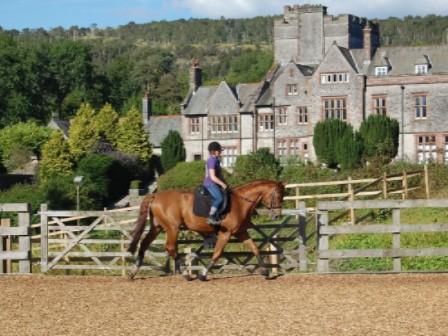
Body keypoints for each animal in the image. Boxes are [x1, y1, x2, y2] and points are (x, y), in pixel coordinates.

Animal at [128, 178, 286, 280]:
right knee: (170, 248)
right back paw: (186, 273)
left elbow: (255, 249)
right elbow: (217, 253)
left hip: (157, 227)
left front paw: (265, 272)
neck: (241, 203)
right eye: (279, 196)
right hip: (172, 228)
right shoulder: (225, 233)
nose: (277, 216)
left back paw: (134, 271)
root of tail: (156, 195)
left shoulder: (241, 232)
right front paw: (203, 274)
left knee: (144, 244)